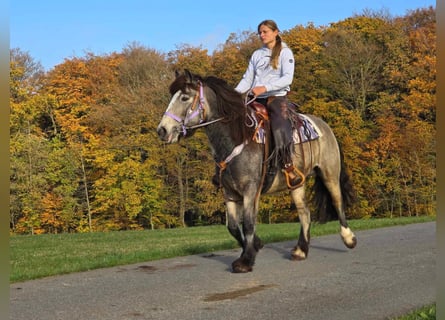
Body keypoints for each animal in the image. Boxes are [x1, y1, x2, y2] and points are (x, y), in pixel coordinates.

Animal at [158, 70, 356, 272]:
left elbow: (248, 223)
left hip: (329, 173)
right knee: (304, 213)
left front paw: (246, 260)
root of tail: (324, 125)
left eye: (184, 97)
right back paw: (301, 251)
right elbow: (233, 226)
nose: (162, 130)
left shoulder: (251, 190)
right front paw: (255, 246)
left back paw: (349, 238)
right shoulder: (229, 192)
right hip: (296, 183)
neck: (236, 139)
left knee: (337, 201)